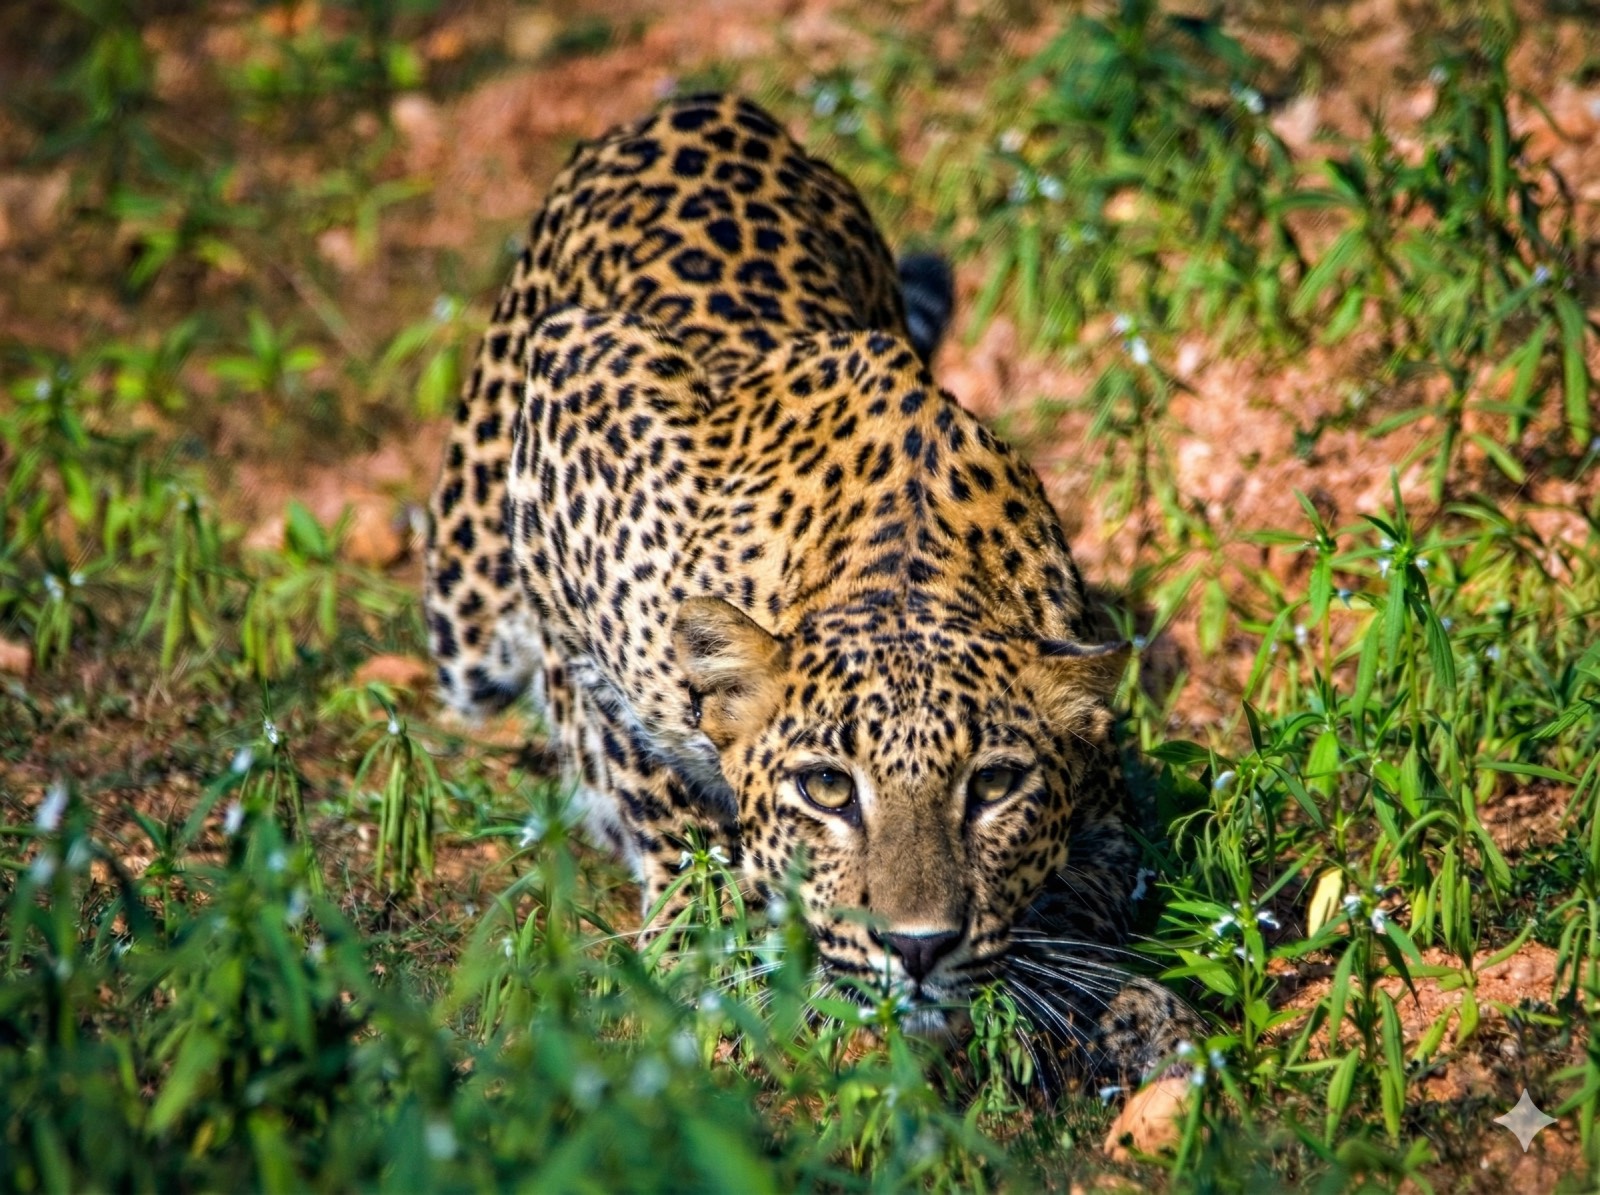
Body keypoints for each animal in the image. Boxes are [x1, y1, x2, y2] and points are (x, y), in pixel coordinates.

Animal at [425, 92, 1197, 1087]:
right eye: (828, 788)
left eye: (993, 785)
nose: (917, 946)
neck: (904, 569)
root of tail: (703, 102)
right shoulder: (573, 411)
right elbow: (652, 776)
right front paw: (709, 933)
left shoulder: (1105, 791)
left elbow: (1092, 896)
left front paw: (1118, 1011)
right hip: (468, 618)